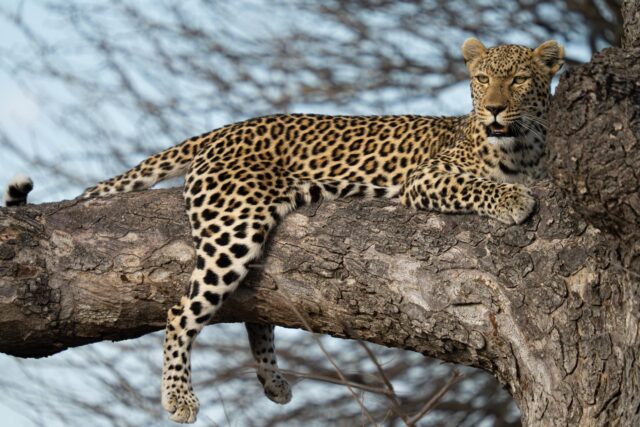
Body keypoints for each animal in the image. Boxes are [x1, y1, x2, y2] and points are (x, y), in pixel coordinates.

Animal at [3, 38, 563, 423]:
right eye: (483, 78)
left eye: (518, 80)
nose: (494, 108)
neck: (521, 145)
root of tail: (227, 128)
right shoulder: (426, 178)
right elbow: (477, 186)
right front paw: (513, 201)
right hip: (234, 226)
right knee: (181, 311)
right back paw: (179, 397)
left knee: (257, 310)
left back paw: (273, 382)